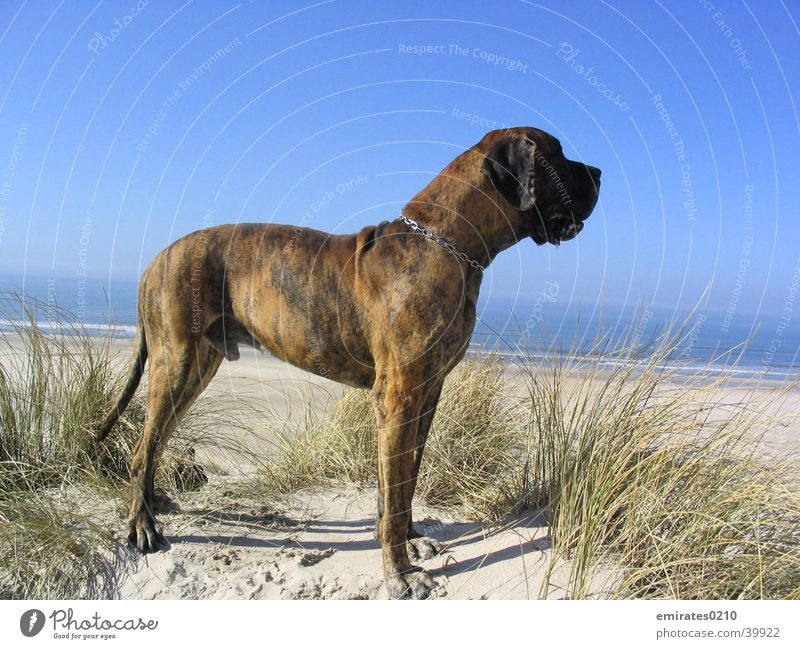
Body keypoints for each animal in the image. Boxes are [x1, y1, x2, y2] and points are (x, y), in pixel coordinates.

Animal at [95, 125, 600, 596]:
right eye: (556, 155)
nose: (599, 173)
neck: (446, 244)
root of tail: (155, 260)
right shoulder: (398, 396)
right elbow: (394, 490)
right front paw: (399, 574)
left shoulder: (427, 393)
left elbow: (404, 480)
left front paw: (411, 540)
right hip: (176, 362)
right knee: (142, 449)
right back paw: (142, 525)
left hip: (198, 367)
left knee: (155, 442)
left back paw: (155, 503)